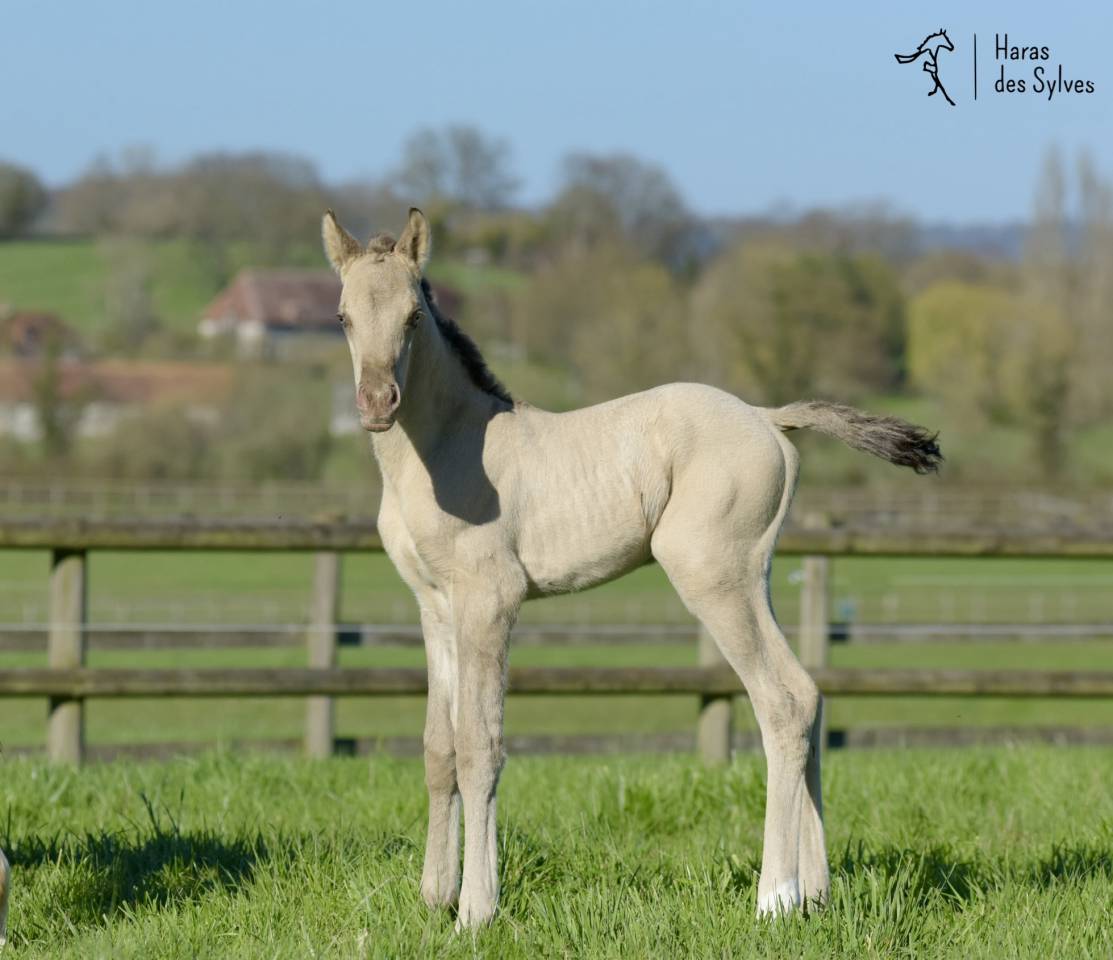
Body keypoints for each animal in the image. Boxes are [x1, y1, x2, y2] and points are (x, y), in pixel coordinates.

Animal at [322, 208, 941, 927]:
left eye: (413, 317)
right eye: (342, 316)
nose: (376, 402)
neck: (447, 451)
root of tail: (767, 418)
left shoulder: (489, 601)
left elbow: (481, 746)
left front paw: (475, 910)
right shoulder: (435, 607)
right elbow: (437, 747)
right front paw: (434, 896)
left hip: (710, 576)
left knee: (781, 703)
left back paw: (774, 897)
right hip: (752, 578)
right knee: (809, 695)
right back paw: (814, 892)